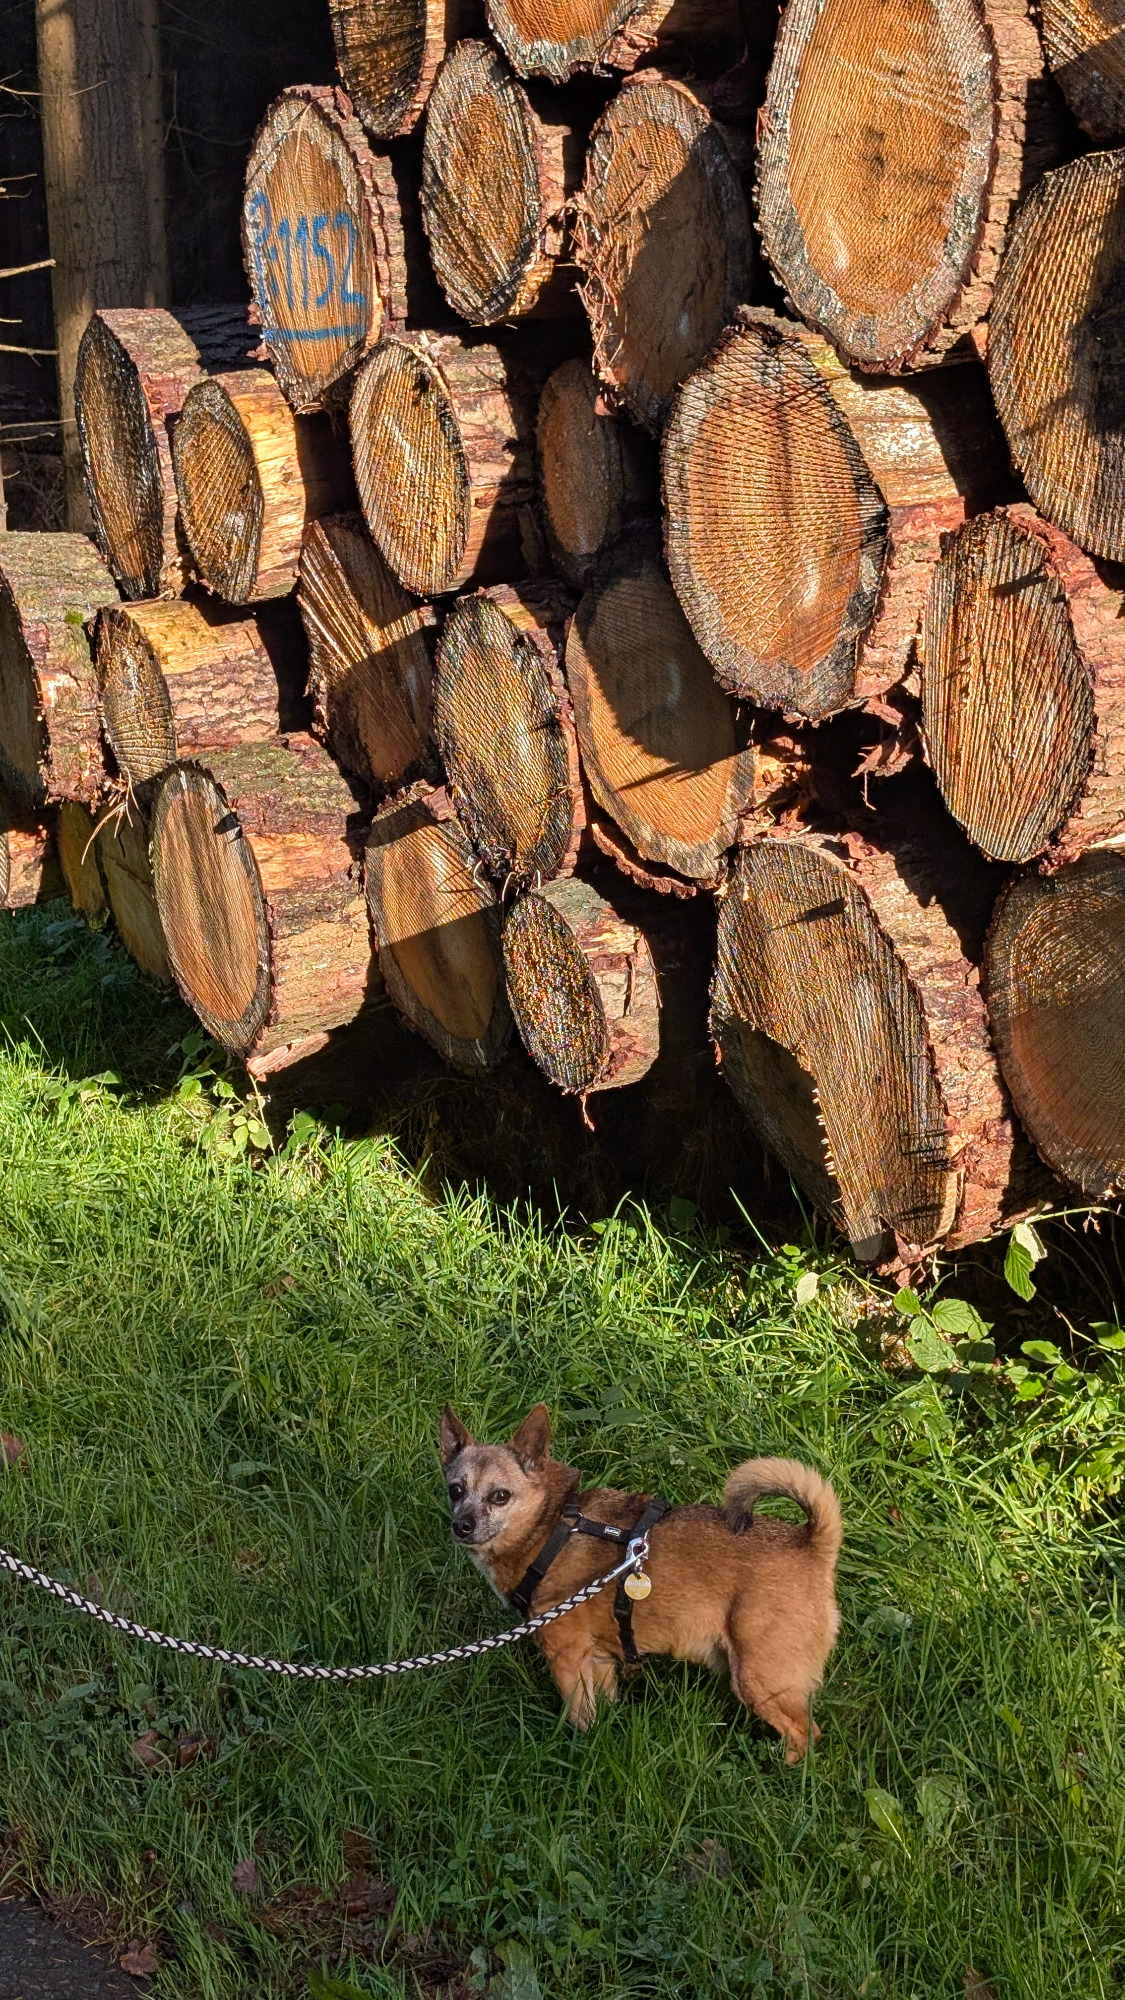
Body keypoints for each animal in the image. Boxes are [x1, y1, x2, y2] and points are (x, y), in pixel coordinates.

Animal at [440, 1402, 842, 1759]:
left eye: (500, 1496)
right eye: (455, 1490)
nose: (461, 1526)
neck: (549, 1531)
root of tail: (810, 1543)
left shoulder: (568, 1660)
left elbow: (580, 1720)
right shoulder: (600, 1663)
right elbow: (603, 1713)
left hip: (759, 1679)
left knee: (805, 1734)